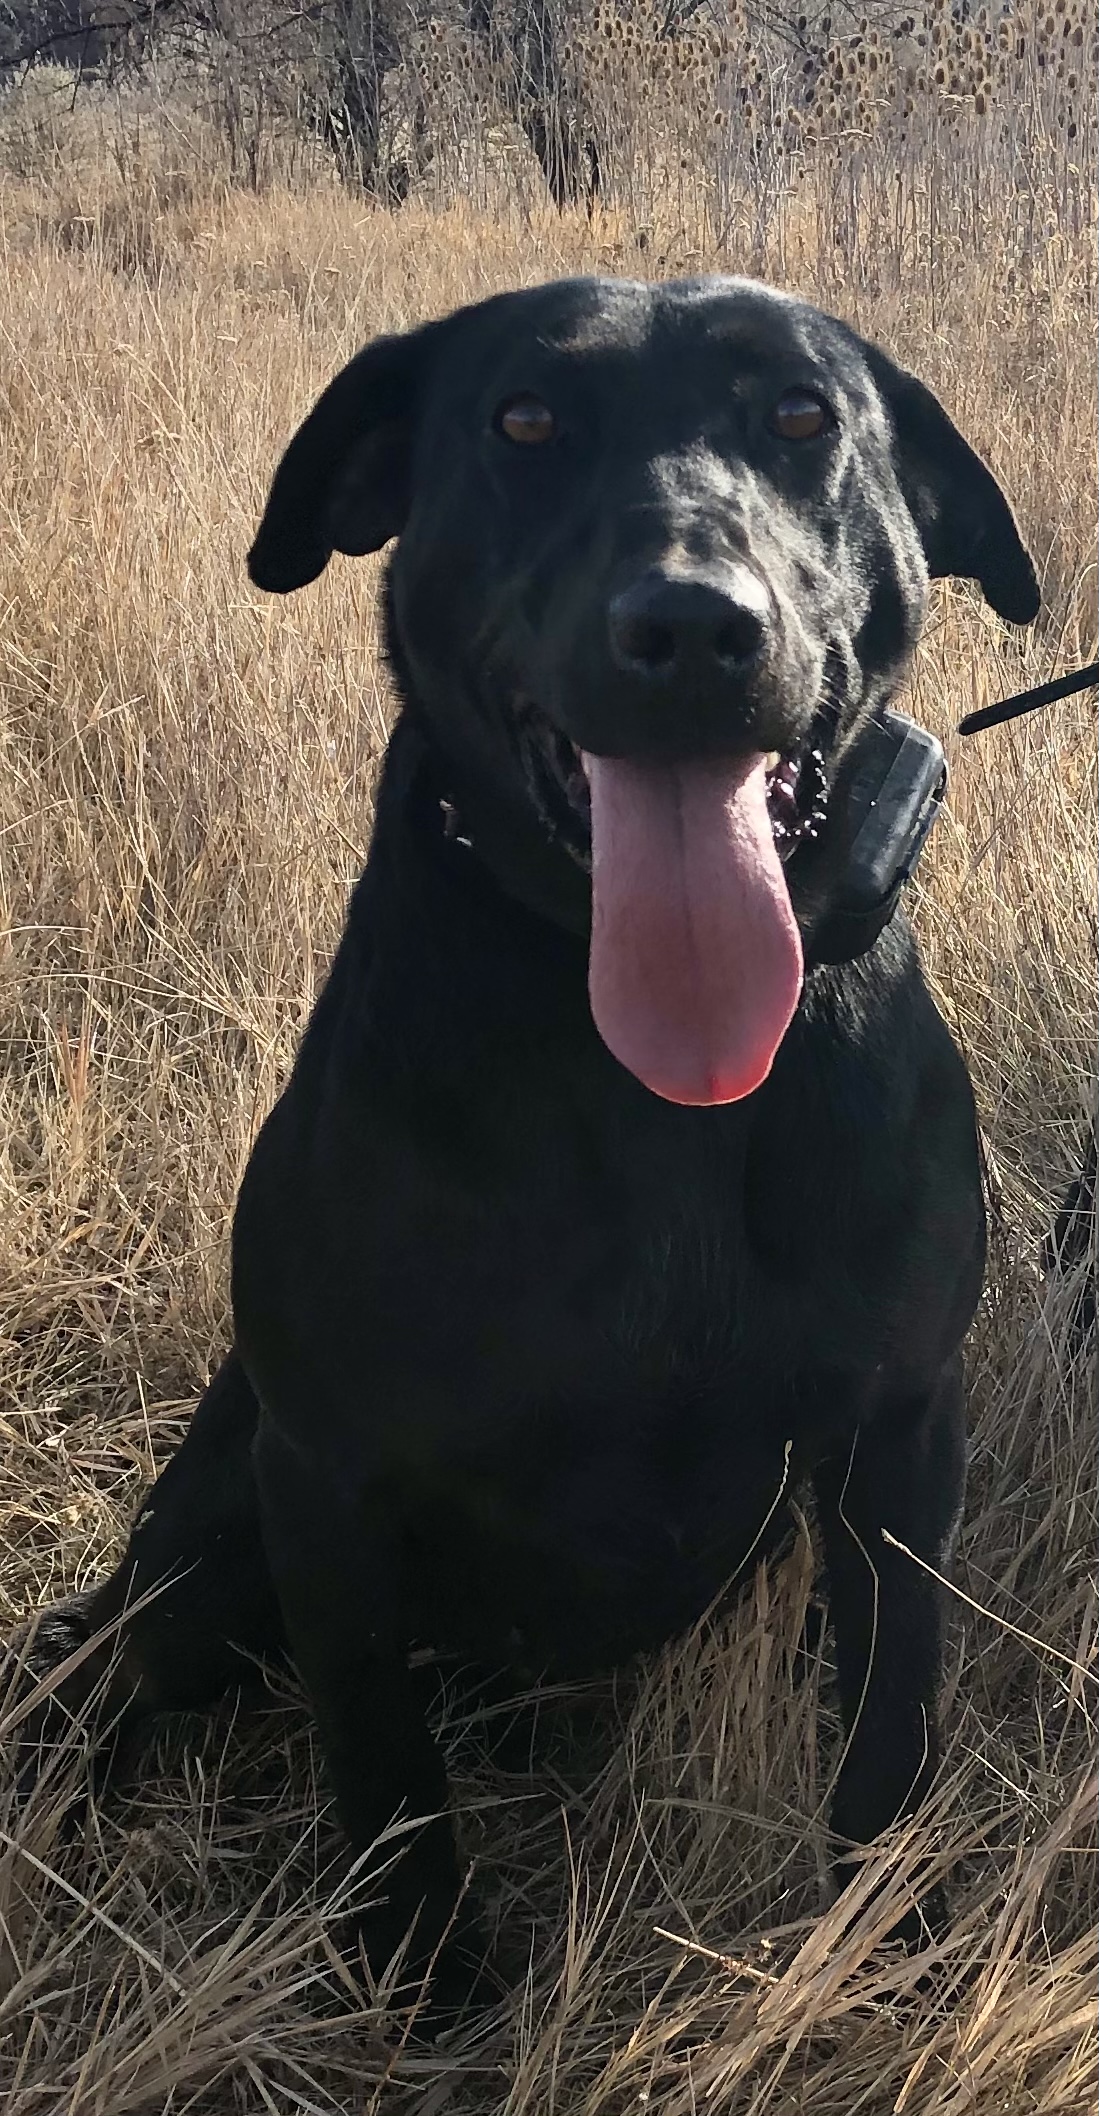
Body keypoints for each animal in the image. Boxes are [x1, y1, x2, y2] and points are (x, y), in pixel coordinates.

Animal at [6, 272, 1041, 2005]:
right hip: (202, 1554)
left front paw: (875, 1953)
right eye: (525, 421)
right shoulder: (328, 1474)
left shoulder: (898, 1433)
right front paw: (422, 1990)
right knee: (112, 1662)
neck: (645, 1073)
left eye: (801, 417)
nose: (690, 630)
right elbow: (382, 1771)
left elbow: (888, 1723)